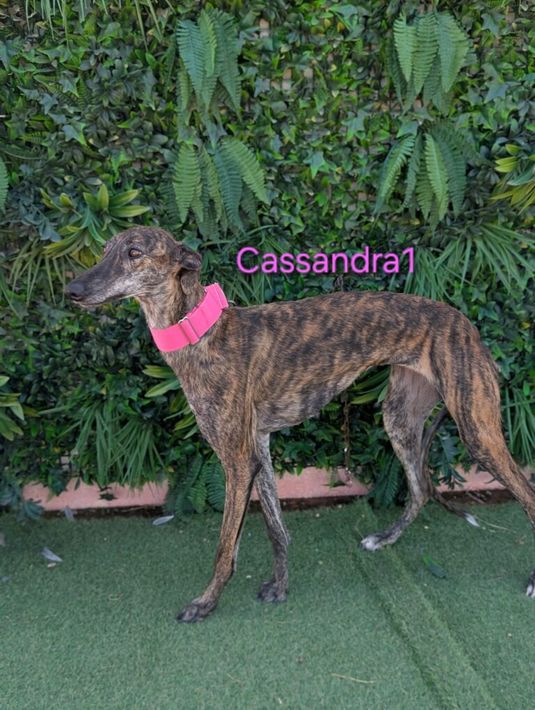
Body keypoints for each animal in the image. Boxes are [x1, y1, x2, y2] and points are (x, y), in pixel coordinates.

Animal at [65, 226, 535, 622]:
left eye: (135, 252)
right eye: (105, 250)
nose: (72, 290)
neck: (201, 332)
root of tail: (465, 323)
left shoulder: (236, 460)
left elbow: (225, 547)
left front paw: (206, 603)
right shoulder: (258, 446)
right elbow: (277, 528)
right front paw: (280, 586)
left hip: (478, 430)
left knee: (524, 491)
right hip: (400, 417)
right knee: (420, 487)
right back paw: (383, 539)